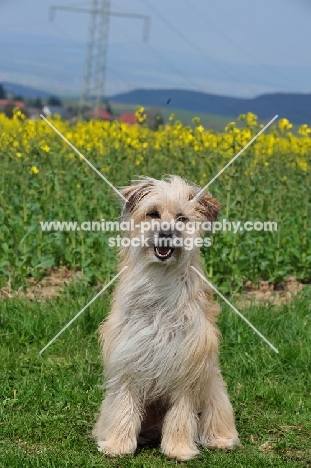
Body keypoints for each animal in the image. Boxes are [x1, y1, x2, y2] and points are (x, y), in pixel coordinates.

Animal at [93, 176, 241, 460]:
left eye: (182, 218)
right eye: (153, 213)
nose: (165, 234)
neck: (160, 282)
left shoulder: (186, 369)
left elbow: (181, 414)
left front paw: (178, 449)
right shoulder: (128, 361)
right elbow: (124, 406)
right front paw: (118, 445)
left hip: (215, 390)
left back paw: (219, 440)